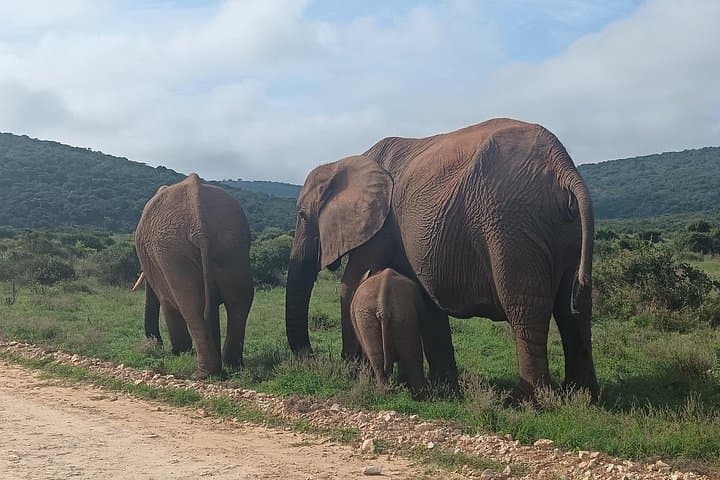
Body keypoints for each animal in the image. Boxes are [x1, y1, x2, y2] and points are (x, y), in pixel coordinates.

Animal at [134, 173, 254, 379]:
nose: (156, 346)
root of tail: (199, 225)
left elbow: (168, 302)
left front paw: (179, 353)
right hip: (231, 245)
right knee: (239, 301)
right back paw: (233, 366)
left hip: (174, 253)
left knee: (191, 307)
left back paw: (201, 374)